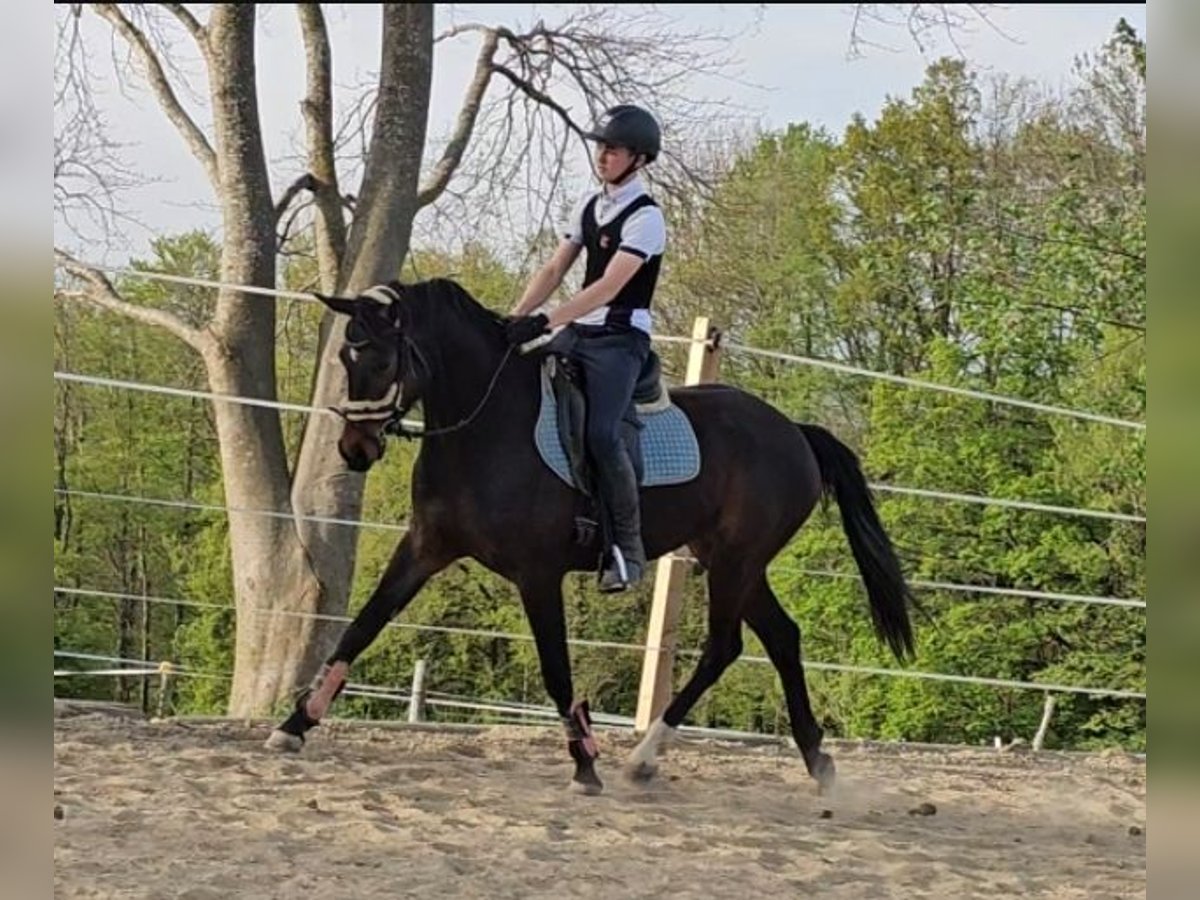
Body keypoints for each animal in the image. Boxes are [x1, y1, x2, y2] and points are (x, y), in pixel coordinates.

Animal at [267, 277, 912, 796]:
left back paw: (644, 759)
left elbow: (556, 669)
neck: (486, 425)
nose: (355, 450)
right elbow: (362, 626)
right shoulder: (425, 547)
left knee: (723, 647)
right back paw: (816, 761)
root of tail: (795, 432)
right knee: (781, 637)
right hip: (733, 561)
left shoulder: (537, 575)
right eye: (346, 355)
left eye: (379, 360)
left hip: (736, 561)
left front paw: (584, 763)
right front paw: (295, 725)